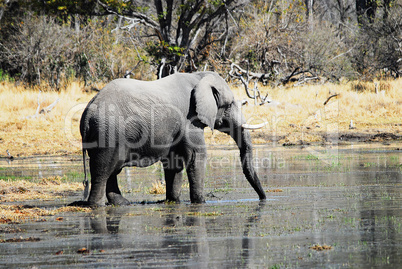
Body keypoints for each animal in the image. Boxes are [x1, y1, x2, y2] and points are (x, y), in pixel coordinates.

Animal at [71, 70, 266, 206]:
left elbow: (174, 161)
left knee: (111, 170)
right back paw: (96, 205)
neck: (199, 77)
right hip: (108, 134)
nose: (263, 198)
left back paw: (122, 204)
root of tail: (87, 114)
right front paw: (200, 202)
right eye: (230, 104)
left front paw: (173, 201)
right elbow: (196, 156)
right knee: (104, 170)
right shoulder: (190, 119)